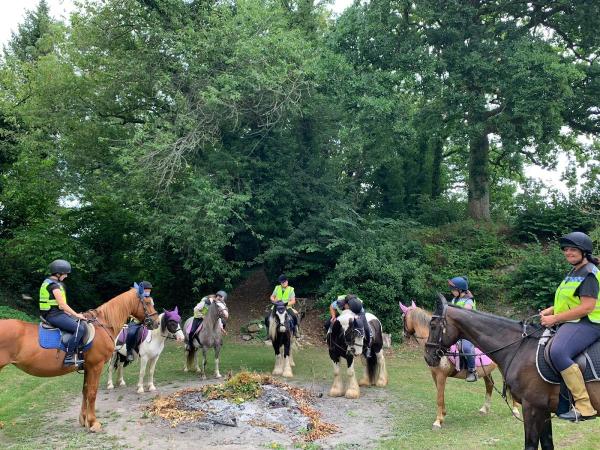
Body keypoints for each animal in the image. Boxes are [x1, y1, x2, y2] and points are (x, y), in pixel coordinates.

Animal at [0, 288, 159, 432]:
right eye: (147, 302)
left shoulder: (88, 367)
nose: (156, 322)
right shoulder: (96, 366)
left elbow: (85, 390)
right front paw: (93, 422)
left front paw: (84, 420)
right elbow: (92, 393)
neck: (103, 324)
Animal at [400, 300, 524, 428]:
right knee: (489, 385)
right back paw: (484, 409)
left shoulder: (441, 375)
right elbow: (440, 395)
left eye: (402, 317)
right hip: (486, 371)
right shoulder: (434, 375)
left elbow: (439, 398)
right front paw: (443, 414)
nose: (403, 334)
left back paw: (515, 410)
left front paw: (438, 421)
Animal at [424, 294, 600, 450]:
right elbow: (547, 444)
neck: (520, 347)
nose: (427, 356)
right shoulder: (543, 410)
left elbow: (530, 445)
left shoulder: (532, 407)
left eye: (432, 325)